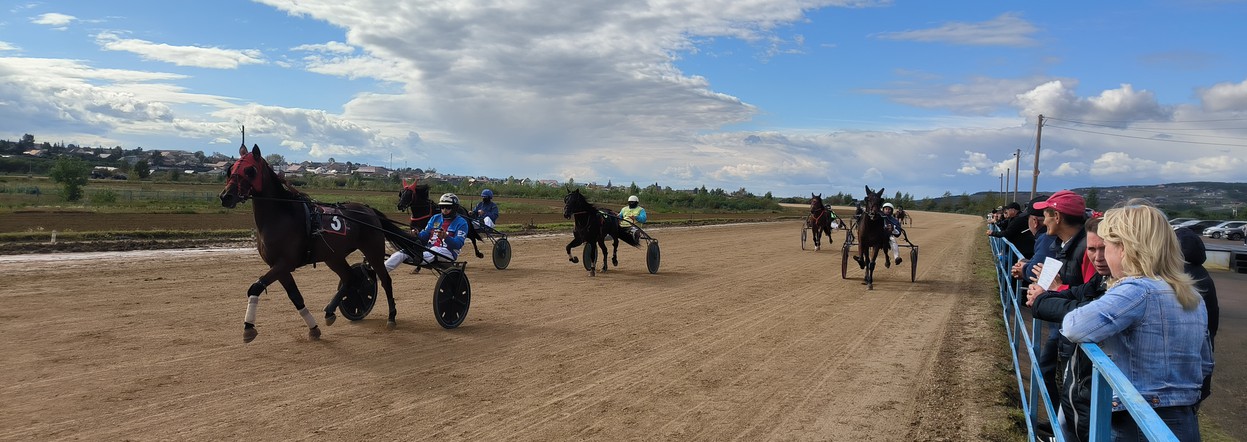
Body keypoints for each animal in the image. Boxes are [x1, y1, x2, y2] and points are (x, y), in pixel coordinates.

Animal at [216, 144, 406, 342]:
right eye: (230, 169)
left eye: (250, 170)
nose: (226, 196)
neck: (281, 215)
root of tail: (369, 210)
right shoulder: (279, 267)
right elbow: (295, 297)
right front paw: (314, 328)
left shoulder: (285, 263)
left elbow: (255, 287)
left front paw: (248, 327)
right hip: (333, 257)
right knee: (350, 278)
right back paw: (330, 311)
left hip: (373, 250)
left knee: (385, 280)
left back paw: (392, 317)